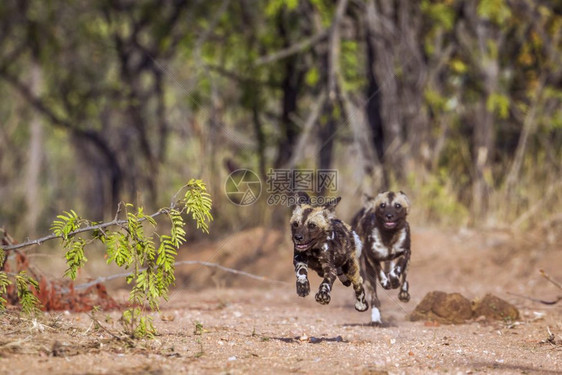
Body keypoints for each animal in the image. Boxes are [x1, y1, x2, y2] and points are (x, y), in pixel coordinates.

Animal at [350, 192, 412, 324]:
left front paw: (395, 282)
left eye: (397, 206)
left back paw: (403, 293)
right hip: (367, 273)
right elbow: (381, 273)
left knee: (403, 275)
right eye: (382, 205)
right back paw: (376, 319)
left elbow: (397, 271)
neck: (389, 236)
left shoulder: (405, 253)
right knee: (374, 297)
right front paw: (385, 282)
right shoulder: (371, 258)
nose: (389, 216)